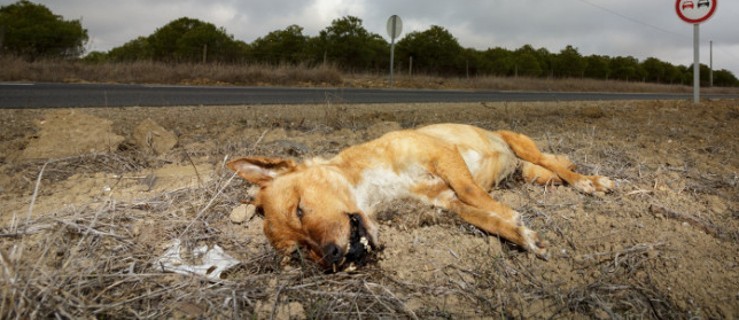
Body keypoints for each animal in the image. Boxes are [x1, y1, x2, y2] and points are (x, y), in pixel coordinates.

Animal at [228, 122, 616, 270]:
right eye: (300, 253)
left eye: (299, 209)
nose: (332, 257)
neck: (376, 189)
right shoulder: (445, 202)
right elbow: (486, 218)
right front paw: (519, 234)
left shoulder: (444, 157)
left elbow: (477, 194)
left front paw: (510, 216)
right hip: (529, 172)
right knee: (551, 171)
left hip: (522, 144)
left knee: (559, 167)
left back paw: (590, 182)